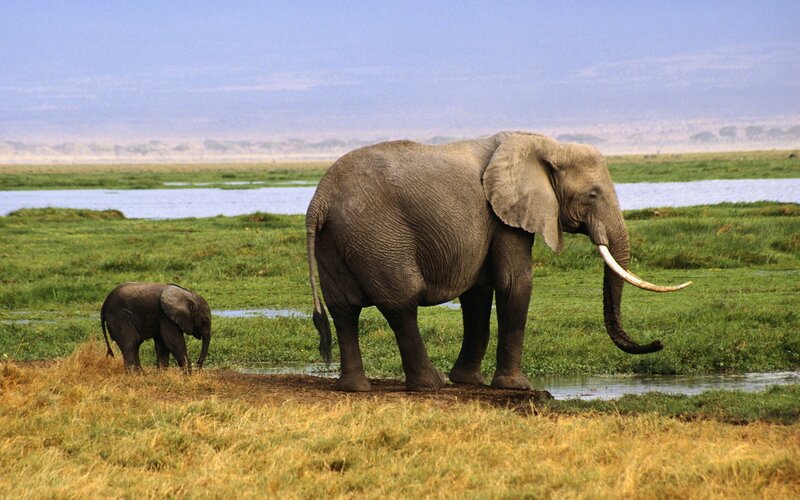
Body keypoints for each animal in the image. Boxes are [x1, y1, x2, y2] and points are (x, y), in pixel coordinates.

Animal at [305, 131, 690, 392]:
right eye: (593, 195)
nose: (658, 343)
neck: (543, 144)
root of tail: (318, 201)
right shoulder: (505, 217)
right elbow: (515, 283)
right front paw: (516, 386)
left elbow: (478, 292)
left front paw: (469, 381)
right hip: (379, 238)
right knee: (401, 304)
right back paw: (431, 384)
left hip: (337, 241)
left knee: (343, 311)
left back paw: (356, 388)